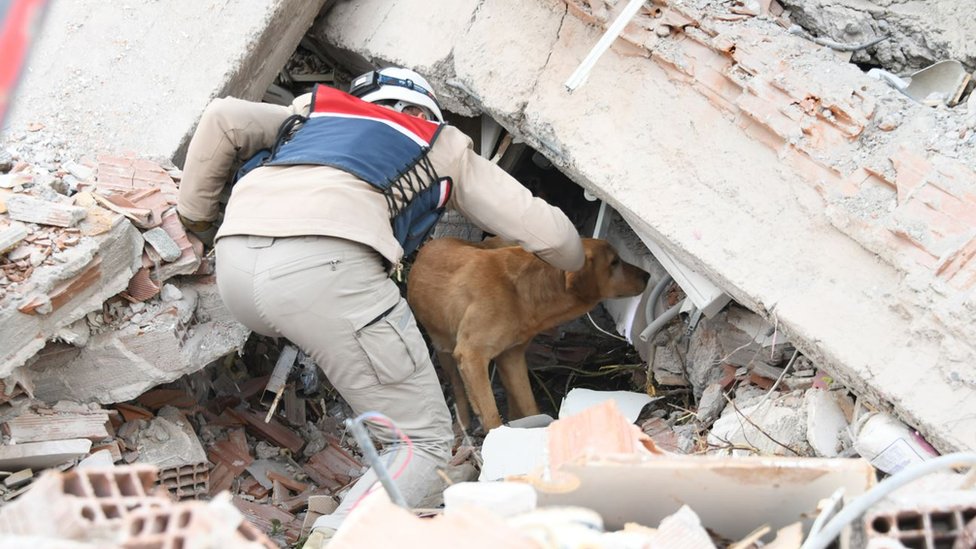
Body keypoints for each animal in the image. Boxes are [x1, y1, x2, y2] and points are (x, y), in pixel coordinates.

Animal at [408, 238, 652, 430]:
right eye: (614, 262)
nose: (648, 275)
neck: (522, 293)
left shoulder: (512, 356)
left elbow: (528, 404)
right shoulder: (471, 355)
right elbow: (491, 414)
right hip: (443, 347)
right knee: (458, 386)